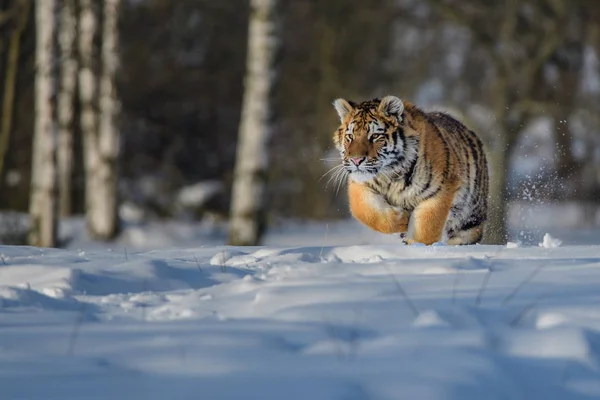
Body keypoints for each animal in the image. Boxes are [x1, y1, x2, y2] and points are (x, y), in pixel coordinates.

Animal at [330, 95, 490, 245]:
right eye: (350, 136)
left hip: (470, 218)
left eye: (375, 136)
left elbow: (426, 230)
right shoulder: (360, 186)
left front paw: (416, 247)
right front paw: (404, 219)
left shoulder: (439, 192)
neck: (389, 175)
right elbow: (368, 213)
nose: (356, 160)